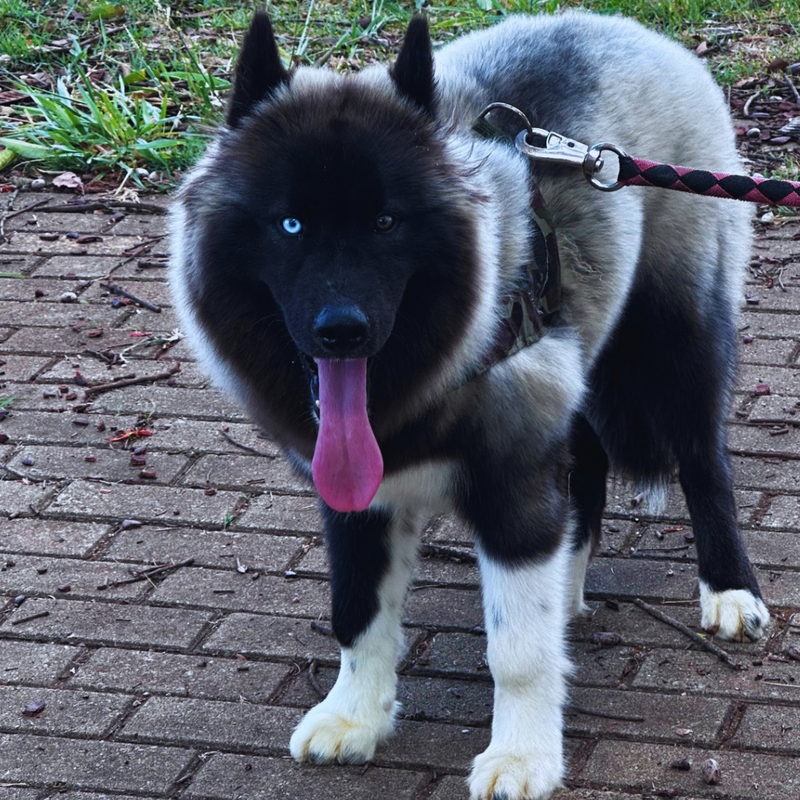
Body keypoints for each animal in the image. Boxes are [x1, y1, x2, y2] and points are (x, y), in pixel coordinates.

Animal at [170, 9, 768, 796]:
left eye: (387, 223)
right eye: (289, 225)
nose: (341, 331)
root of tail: (618, 24)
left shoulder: (514, 474)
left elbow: (516, 651)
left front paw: (522, 755)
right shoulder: (360, 497)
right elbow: (357, 610)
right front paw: (355, 716)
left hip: (677, 337)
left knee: (704, 463)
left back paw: (729, 591)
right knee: (588, 472)